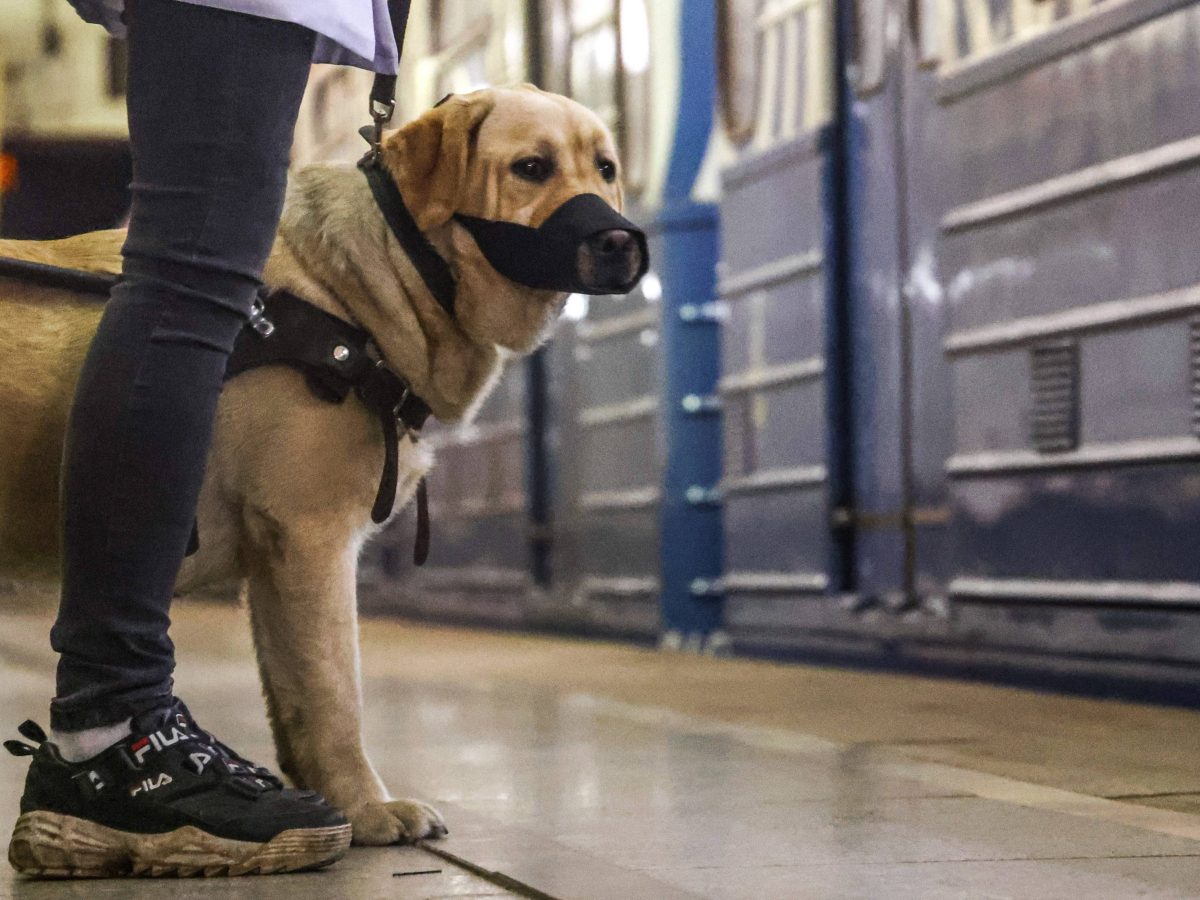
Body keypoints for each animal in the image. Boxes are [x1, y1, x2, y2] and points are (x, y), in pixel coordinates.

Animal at [0, 84, 648, 844]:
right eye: (531, 167)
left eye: (605, 168)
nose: (620, 241)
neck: (366, 284)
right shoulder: (311, 538)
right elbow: (335, 694)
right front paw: (368, 810)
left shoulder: (274, 565)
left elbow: (296, 701)